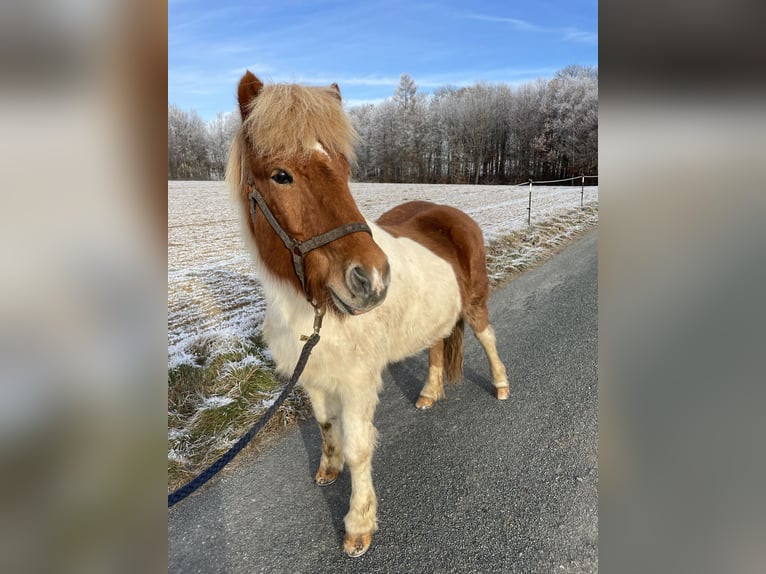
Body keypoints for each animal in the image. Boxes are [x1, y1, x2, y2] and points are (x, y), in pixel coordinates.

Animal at [227, 71, 509, 557]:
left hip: (475, 303)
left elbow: (359, 448)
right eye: (281, 175)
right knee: (436, 347)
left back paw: (502, 385)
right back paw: (429, 394)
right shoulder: (313, 375)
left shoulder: (356, 383)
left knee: (488, 339)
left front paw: (358, 525)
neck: (312, 313)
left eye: (344, 170)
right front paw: (328, 469)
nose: (372, 278)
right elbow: (326, 425)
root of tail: (452, 213)